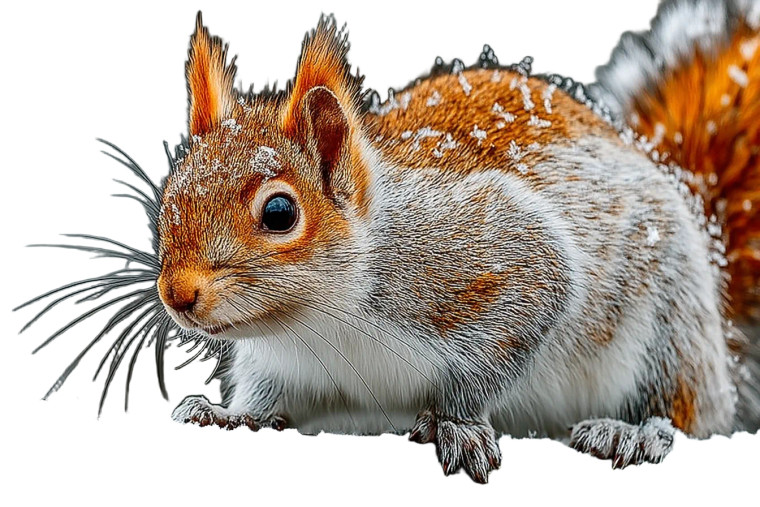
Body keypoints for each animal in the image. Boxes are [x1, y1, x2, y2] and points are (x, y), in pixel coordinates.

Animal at [17, 0, 760, 484]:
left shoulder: (500, 260)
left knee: (686, 407)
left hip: (669, 322)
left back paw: (634, 430)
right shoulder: (279, 365)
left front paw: (454, 423)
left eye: (280, 211)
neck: (319, 322)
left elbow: (516, 325)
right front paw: (229, 416)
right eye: (168, 197)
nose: (176, 294)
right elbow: (261, 396)